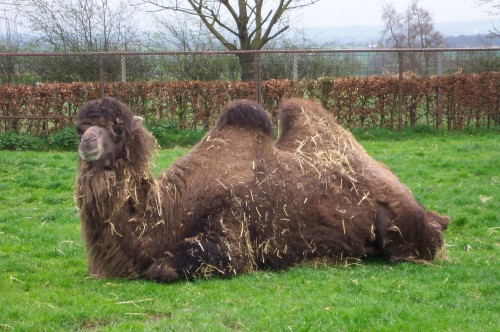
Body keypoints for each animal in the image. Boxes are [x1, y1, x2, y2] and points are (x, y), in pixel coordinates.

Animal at [76, 96, 452, 282]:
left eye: (118, 128)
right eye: (80, 125)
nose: (87, 142)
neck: (171, 209)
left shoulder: (231, 228)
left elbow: (163, 268)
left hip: (402, 227)